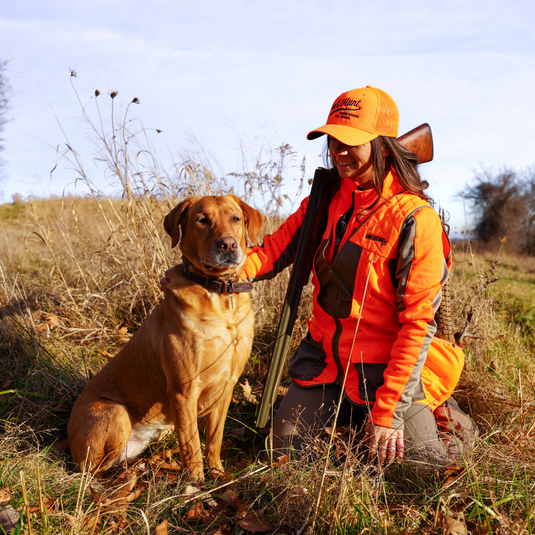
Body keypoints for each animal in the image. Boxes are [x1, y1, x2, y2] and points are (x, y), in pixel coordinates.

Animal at [67, 197, 264, 482]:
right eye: (202, 220)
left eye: (236, 218)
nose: (228, 244)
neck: (221, 295)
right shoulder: (184, 391)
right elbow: (192, 445)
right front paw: (196, 483)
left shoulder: (226, 388)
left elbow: (214, 439)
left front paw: (217, 472)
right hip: (115, 413)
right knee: (90, 470)